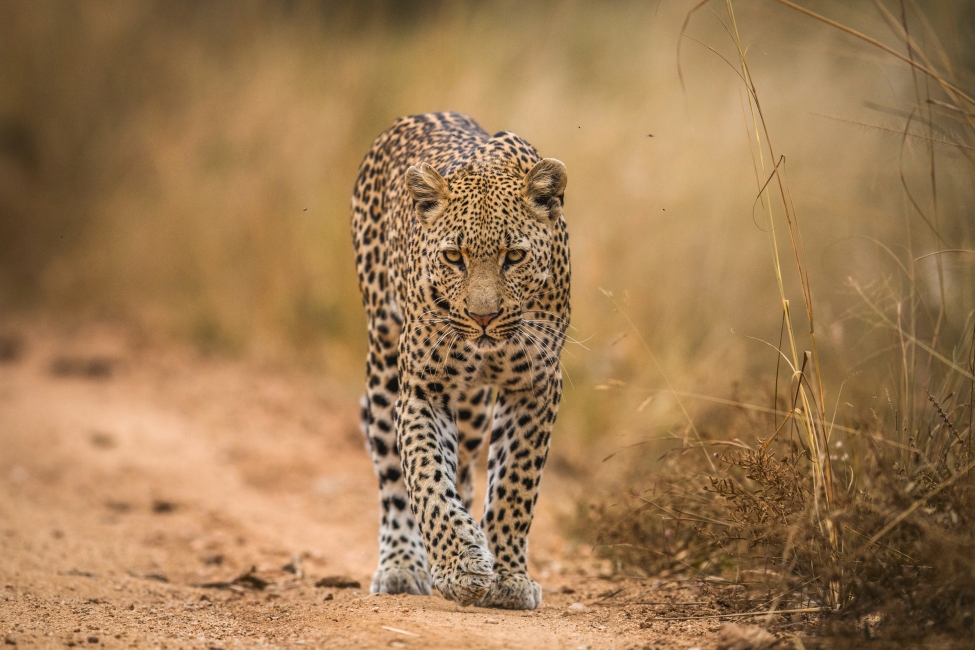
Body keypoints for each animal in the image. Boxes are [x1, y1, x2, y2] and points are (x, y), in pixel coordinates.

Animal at [351, 111, 569, 610]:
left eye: (514, 256)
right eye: (453, 256)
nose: (483, 317)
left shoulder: (535, 385)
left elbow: (514, 485)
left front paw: (507, 577)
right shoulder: (422, 389)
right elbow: (427, 477)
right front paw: (459, 565)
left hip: (472, 410)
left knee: (468, 469)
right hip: (383, 363)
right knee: (392, 472)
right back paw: (402, 565)